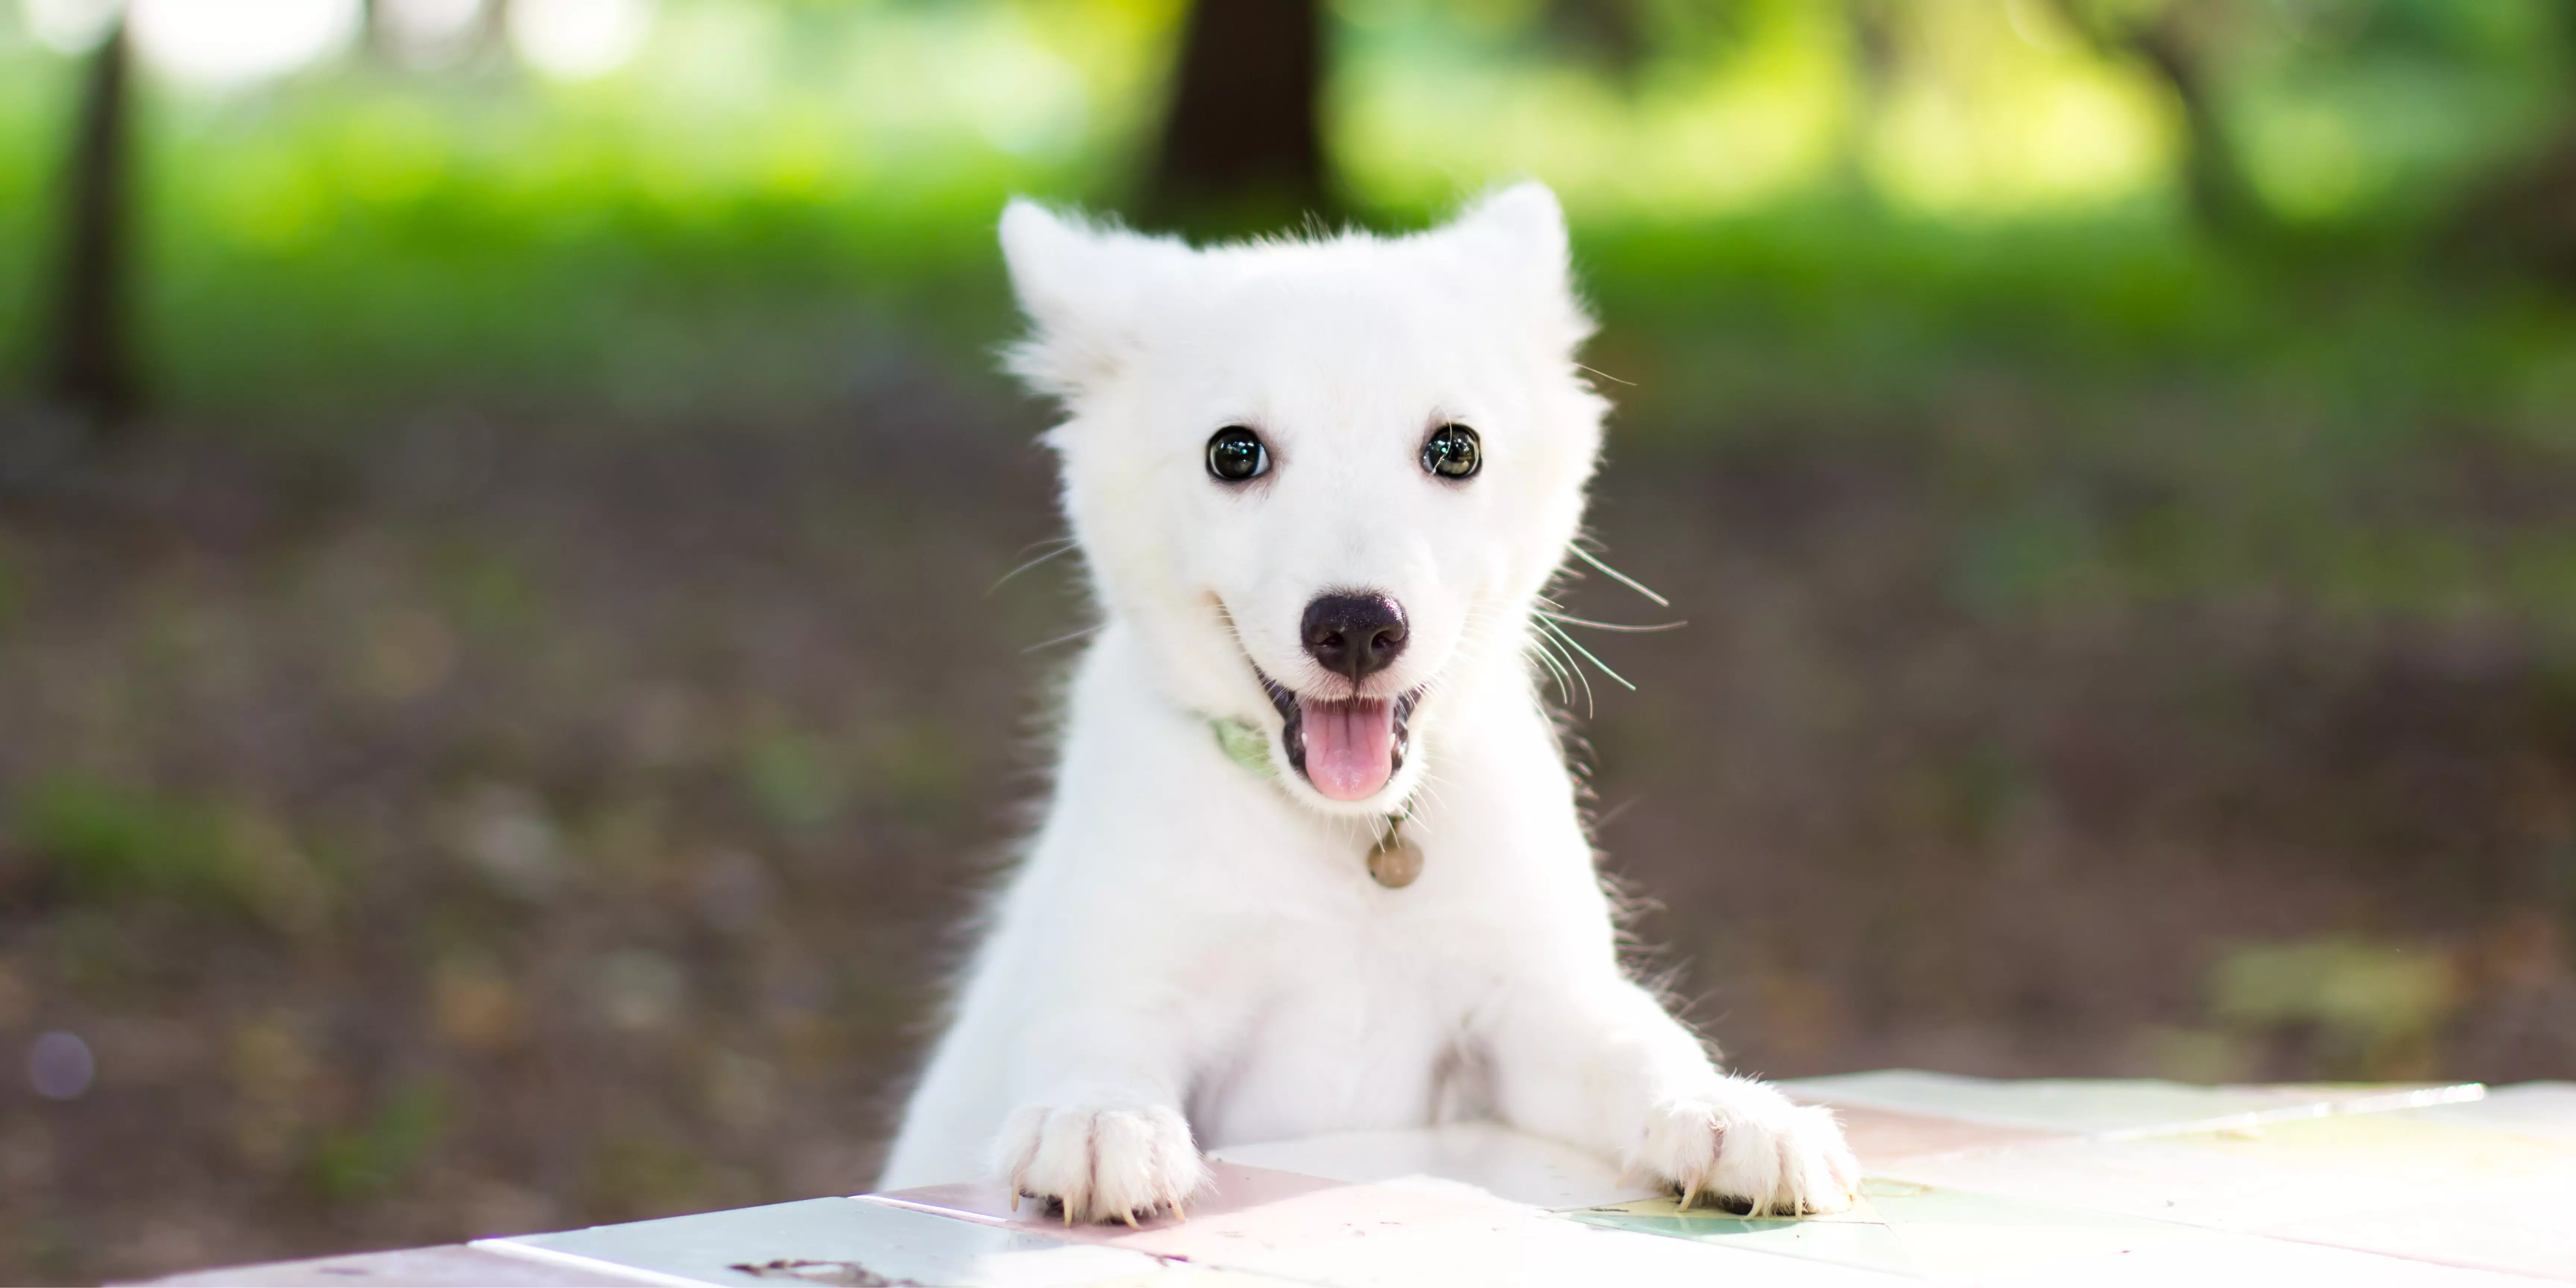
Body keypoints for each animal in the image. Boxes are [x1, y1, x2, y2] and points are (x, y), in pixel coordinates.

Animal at [886, 179, 1854, 1216]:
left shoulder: (1535, 1005)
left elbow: (1640, 1040)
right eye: (1234, 453)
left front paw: (1727, 1110)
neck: (1346, 850)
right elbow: (1091, 1044)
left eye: (1455, 449)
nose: (1357, 627)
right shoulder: (1126, 976)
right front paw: (1103, 1118)